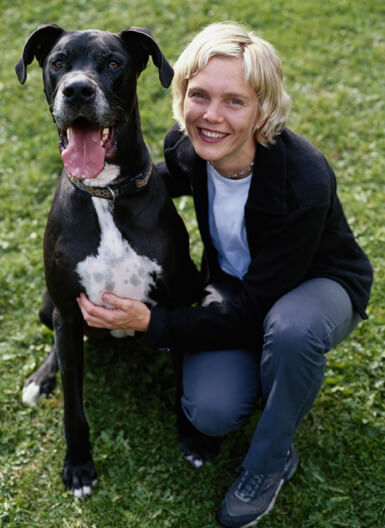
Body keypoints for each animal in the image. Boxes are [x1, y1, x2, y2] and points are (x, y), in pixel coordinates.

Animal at [15, 23, 210, 496]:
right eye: (58, 62)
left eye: (113, 63)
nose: (78, 91)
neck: (105, 193)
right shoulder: (69, 311)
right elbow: (73, 407)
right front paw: (79, 467)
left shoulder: (179, 304)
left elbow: (185, 383)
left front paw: (192, 439)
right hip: (49, 305)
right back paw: (40, 380)